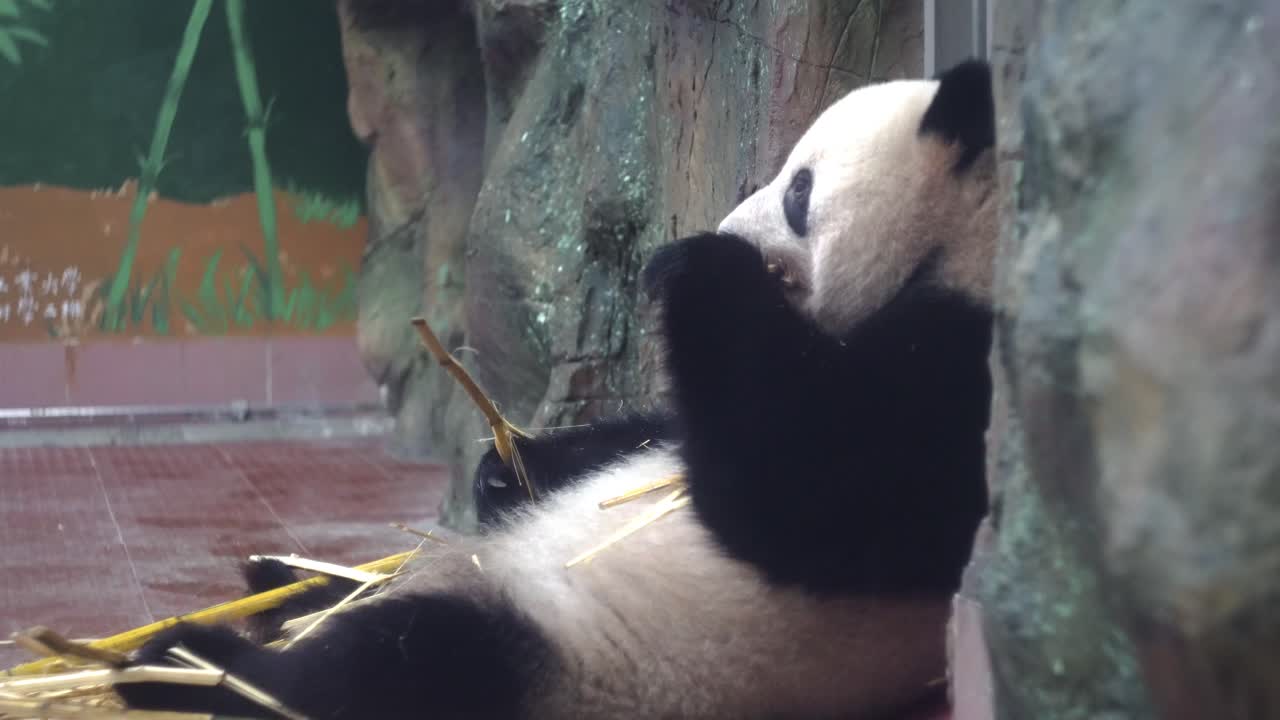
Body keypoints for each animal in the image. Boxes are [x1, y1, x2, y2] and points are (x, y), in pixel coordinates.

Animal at [118, 59, 997, 720]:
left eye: (799, 192)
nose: (728, 228)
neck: (954, 248)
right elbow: (653, 434)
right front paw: (504, 470)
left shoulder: (957, 382)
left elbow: (801, 496)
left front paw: (699, 267)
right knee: (366, 596)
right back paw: (273, 584)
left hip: (579, 653)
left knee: (402, 663)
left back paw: (188, 665)